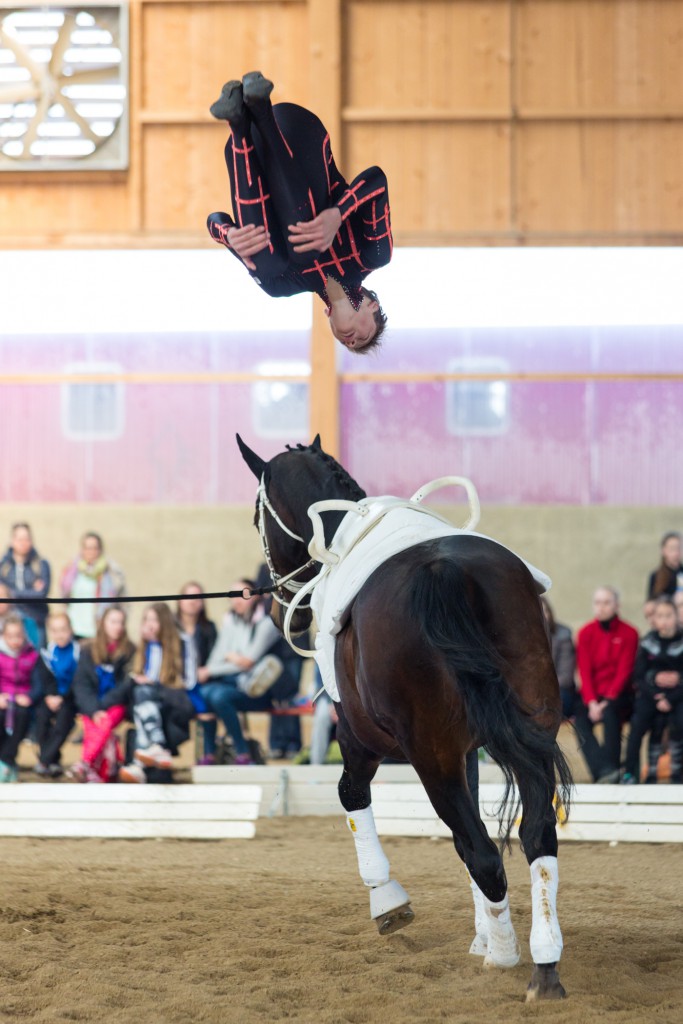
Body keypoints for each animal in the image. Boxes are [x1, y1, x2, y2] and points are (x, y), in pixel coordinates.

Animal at [237, 432, 573, 999]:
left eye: (257, 519)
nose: (287, 606)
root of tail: (446, 573)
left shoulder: (361, 740)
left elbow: (351, 795)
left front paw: (387, 901)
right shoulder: (468, 750)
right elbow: (468, 832)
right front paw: (480, 932)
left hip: (427, 755)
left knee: (484, 851)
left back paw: (506, 956)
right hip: (525, 733)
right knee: (534, 835)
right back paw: (542, 961)